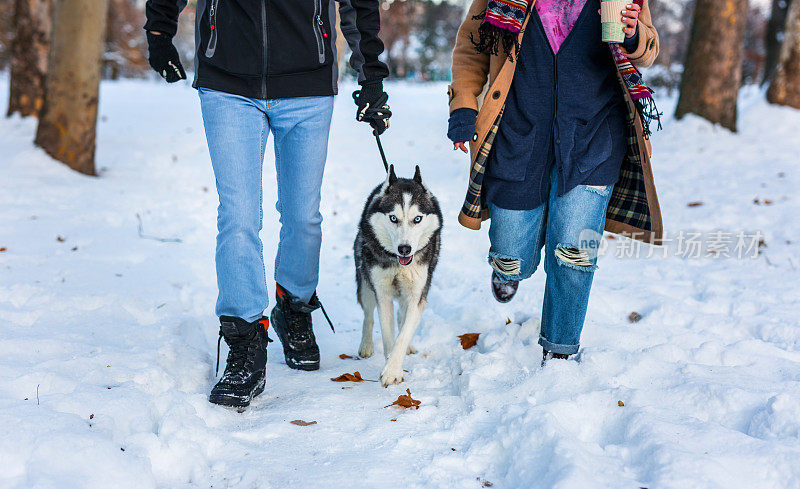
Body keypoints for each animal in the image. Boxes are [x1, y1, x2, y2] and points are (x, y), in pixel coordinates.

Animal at [354, 166, 444, 386]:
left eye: (417, 219)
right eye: (393, 218)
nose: (405, 249)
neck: (398, 263)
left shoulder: (417, 295)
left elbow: (403, 334)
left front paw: (393, 369)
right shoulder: (382, 294)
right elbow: (388, 336)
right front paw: (390, 366)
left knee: (402, 317)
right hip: (365, 283)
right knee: (368, 315)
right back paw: (366, 345)